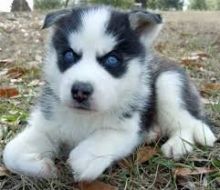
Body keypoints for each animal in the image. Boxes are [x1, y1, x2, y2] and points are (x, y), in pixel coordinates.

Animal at [3, 5, 217, 181]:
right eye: (69, 55)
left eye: (112, 60)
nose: (80, 91)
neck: (84, 117)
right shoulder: (47, 124)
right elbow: (9, 153)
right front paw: (44, 168)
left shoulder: (130, 128)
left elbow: (105, 136)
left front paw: (84, 157)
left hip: (169, 83)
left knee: (186, 123)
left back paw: (177, 145)